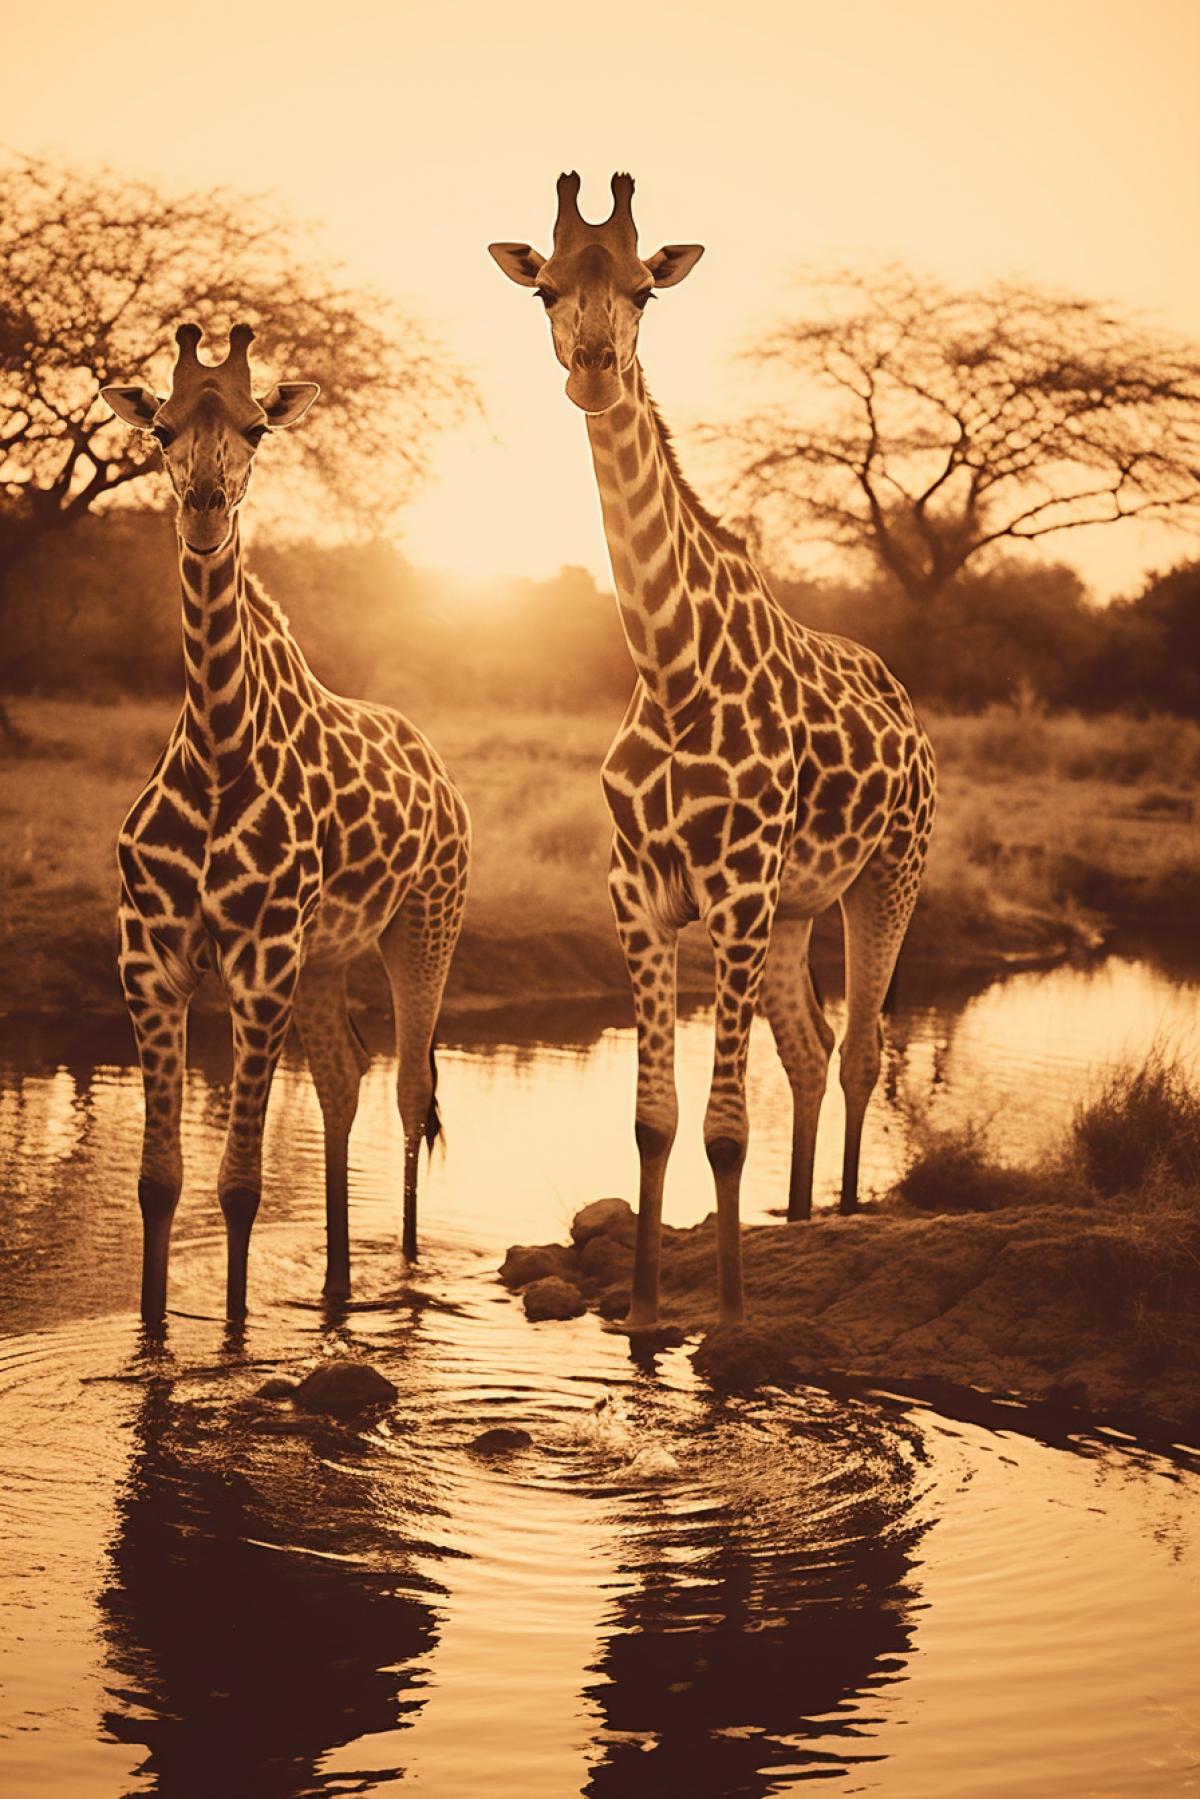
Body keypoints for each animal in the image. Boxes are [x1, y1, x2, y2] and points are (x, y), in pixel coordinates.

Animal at [101, 324, 470, 1324]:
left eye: (258, 427)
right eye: (159, 428)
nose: (204, 507)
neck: (218, 750)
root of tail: (439, 769)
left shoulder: (259, 963)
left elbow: (240, 1185)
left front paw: (232, 1331)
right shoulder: (151, 961)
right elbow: (158, 1182)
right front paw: (155, 1332)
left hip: (426, 925)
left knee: (409, 1085)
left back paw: (404, 1275)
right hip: (326, 954)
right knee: (344, 1079)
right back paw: (336, 1279)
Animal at [490, 174, 936, 1331]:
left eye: (646, 290)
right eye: (545, 288)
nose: (593, 368)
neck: (671, 667)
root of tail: (911, 709)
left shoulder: (732, 890)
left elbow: (726, 1127)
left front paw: (729, 1324)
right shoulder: (641, 894)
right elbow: (655, 1118)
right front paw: (648, 1315)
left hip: (887, 874)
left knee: (861, 1048)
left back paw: (843, 1218)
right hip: (793, 908)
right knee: (811, 1051)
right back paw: (798, 1220)